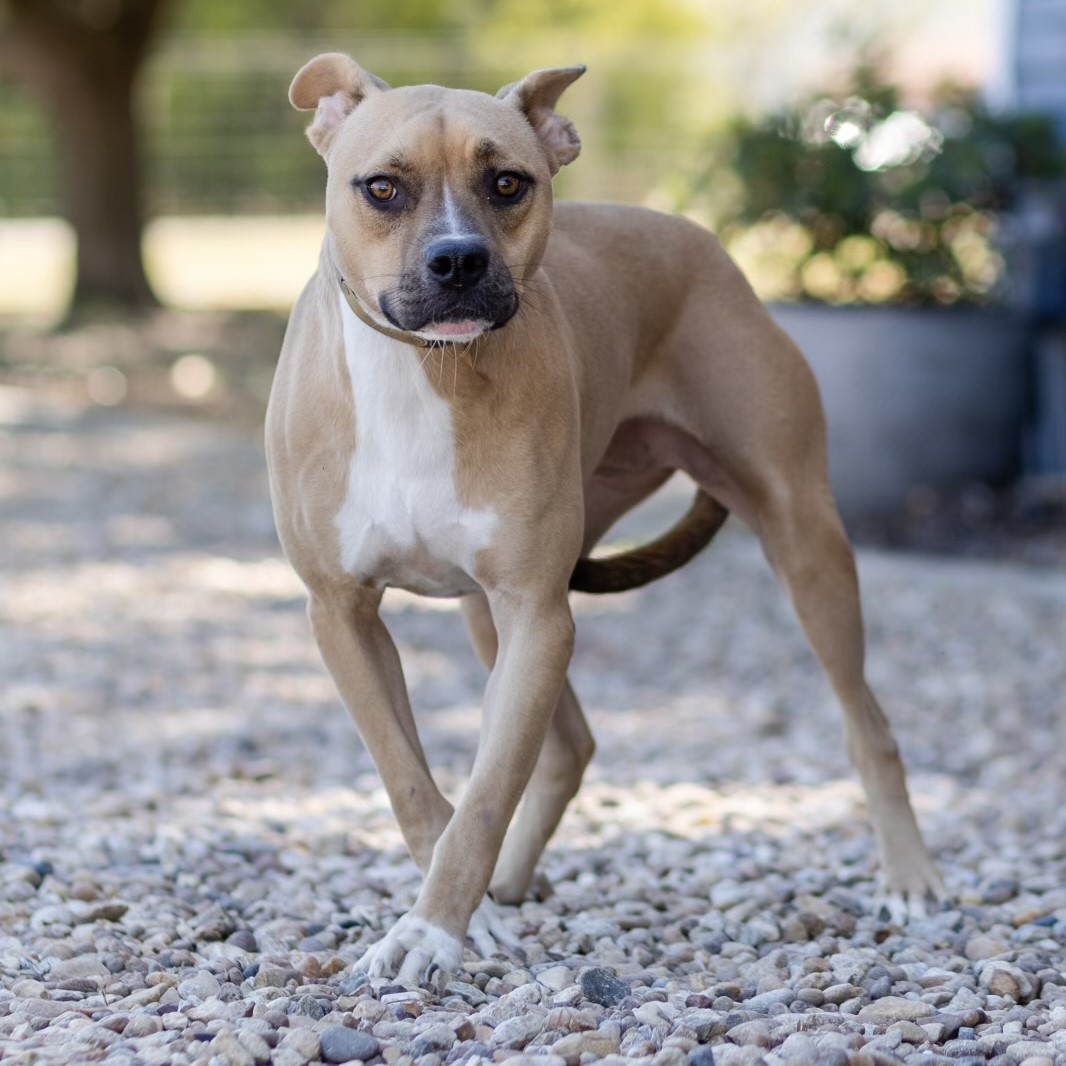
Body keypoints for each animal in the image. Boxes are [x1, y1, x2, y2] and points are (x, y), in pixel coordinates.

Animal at [264, 51, 942, 980]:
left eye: (508, 182)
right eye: (383, 188)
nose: (457, 260)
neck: (425, 375)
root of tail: (702, 242)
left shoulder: (536, 613)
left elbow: (483, 794)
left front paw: (437, 926)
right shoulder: (345, 614)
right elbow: (414, 782)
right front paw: (463, 916)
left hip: (806, 546)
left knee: (867, 725)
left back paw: (908, 878)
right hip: (493, 614)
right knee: (569, 744)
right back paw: (508, 887)